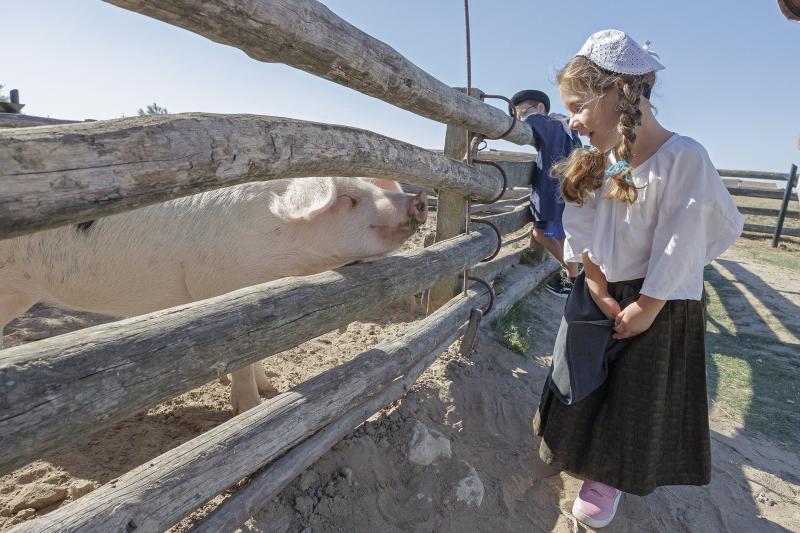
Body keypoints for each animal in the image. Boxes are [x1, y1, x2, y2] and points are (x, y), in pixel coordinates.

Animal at [0, 177, 428, 414]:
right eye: (348, 199)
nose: (419, 200)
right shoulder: (224, 287)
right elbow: (242, 359)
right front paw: (251, 408)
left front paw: (270, 388)